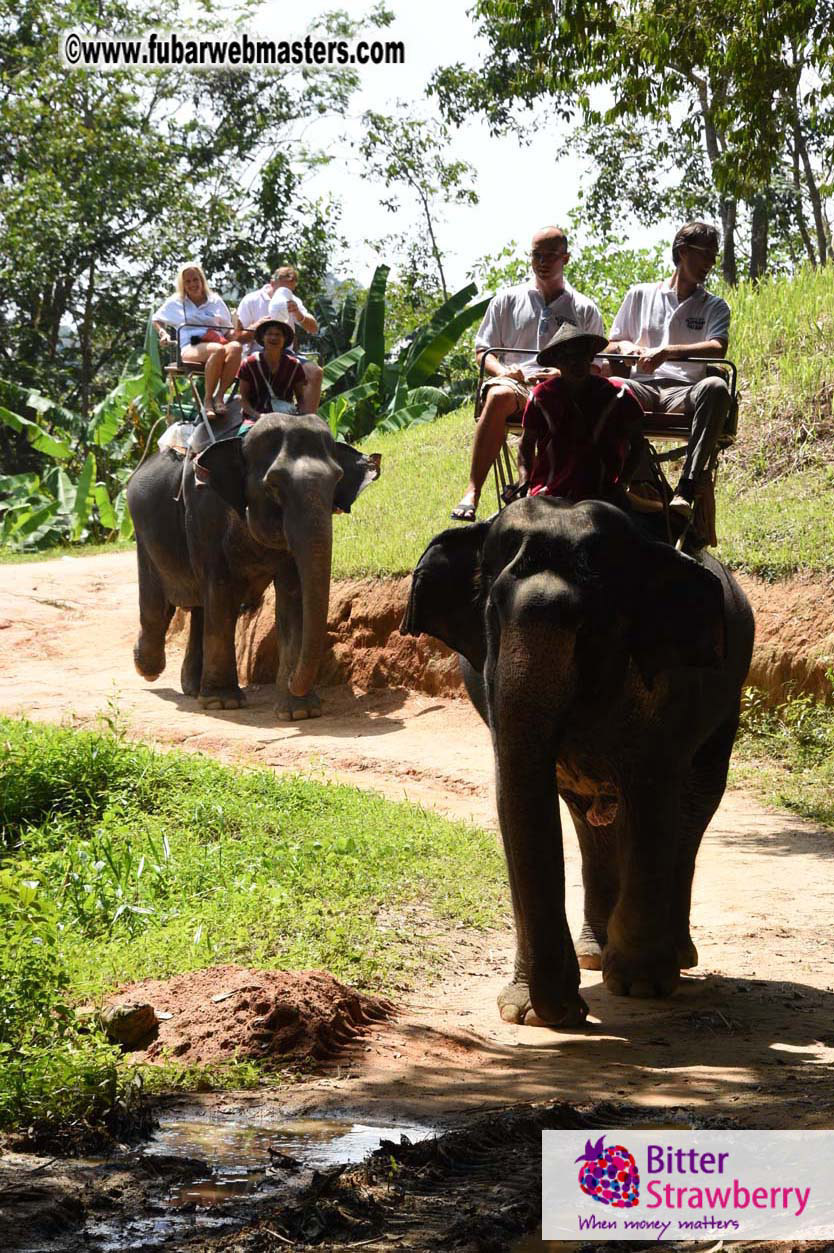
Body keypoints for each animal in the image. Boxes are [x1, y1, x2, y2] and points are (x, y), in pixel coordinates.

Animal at [126, 410, 380, 719]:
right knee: (159, 605)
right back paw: (148, 668)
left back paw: (192, 688)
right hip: (142, 531)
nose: (294, 680)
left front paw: (300, 711)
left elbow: (294, 595)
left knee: (198, 608)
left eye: (336, 481)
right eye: (273, 485)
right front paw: (223, 703)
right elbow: (221, 591)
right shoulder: (205, 514)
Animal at [401, 496, 754, 1028]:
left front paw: (640, 985)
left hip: (729, 692)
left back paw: (675, 956)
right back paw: (594, 952)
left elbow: (654, 792)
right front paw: (524, 1011)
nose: (569, 1014)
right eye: (492, 615)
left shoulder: (671, 684)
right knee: (587, 818)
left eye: (591, 624)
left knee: (694, 805)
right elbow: (513, 795)